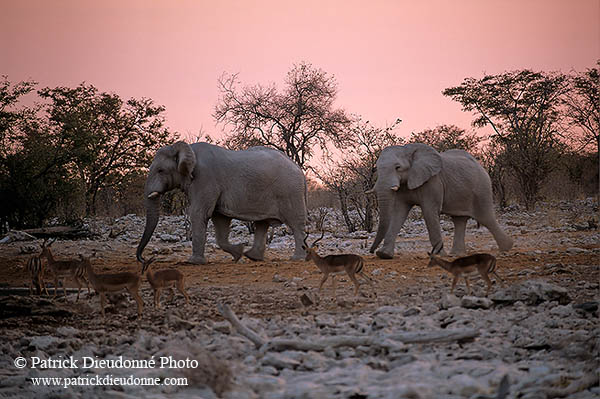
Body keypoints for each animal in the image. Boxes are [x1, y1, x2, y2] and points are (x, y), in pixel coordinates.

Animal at [136, 141, 304, 266]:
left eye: (160, 170)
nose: (143, 259)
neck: (189, 149)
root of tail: (298, 167)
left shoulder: (205, 179)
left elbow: (199, 213)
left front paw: (194, 262)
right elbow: (219, 219)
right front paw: (238, 253)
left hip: (290, 191)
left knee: (295, 223)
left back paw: (297, 258)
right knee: (262, 223)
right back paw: (252, 256)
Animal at [368, 144, 512, 260]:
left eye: (397, 167)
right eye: (377, 168)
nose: (371, 251)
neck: (409, 151)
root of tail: (482, 166)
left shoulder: (433, 182)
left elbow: (429, 212)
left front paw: (438, 256)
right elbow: (398, 213)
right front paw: (384, 255)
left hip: (482, 189)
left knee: (486, 218)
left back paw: (507, 248)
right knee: (459, 220)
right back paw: (456, 254)